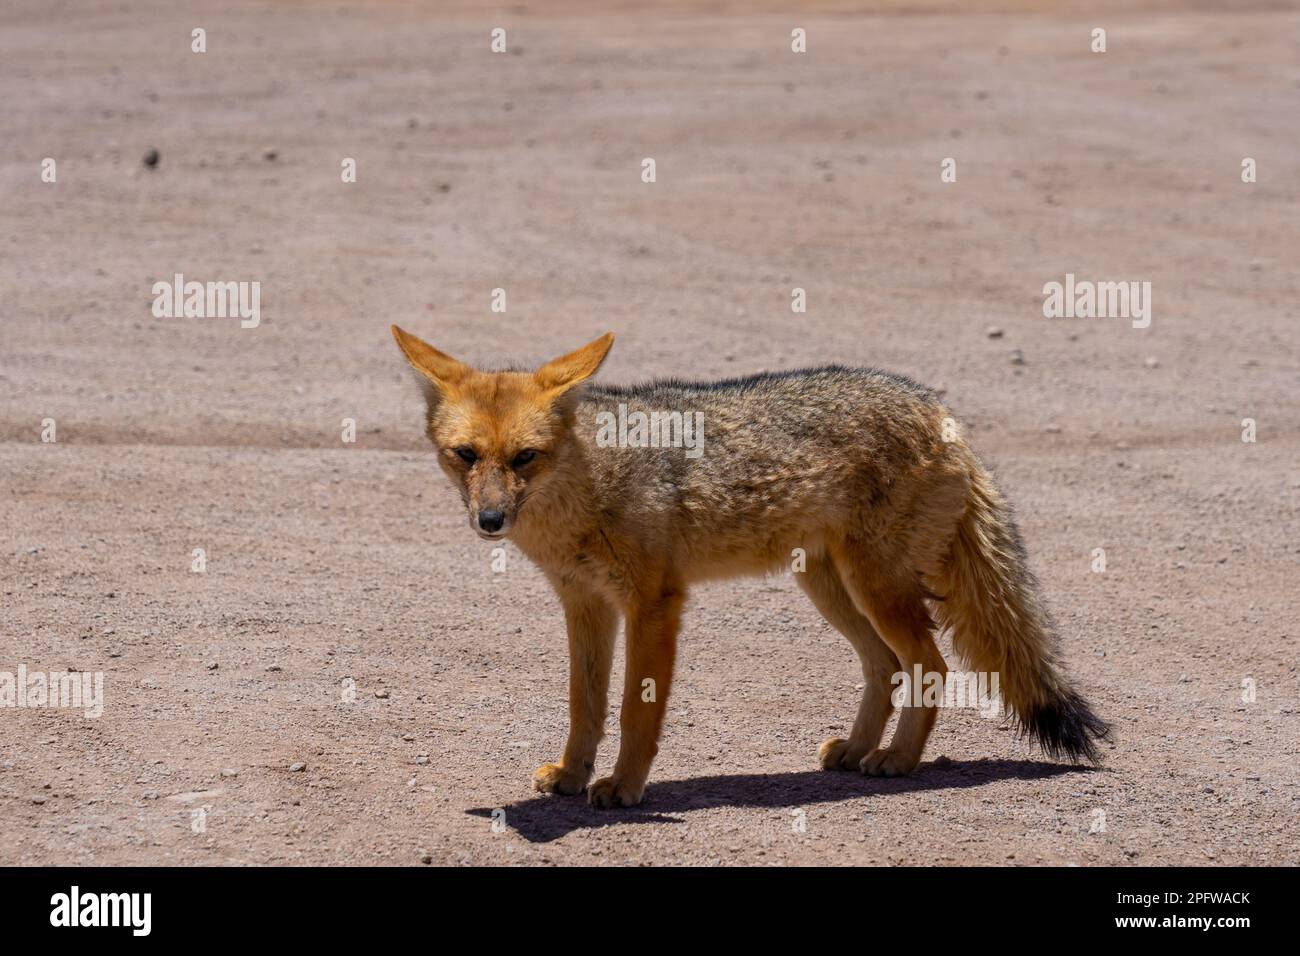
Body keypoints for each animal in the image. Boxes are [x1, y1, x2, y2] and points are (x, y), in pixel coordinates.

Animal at [391, 326, 1111, 808]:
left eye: (525, 458)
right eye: (465, 455)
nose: (490, 521)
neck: (592, 485)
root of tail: (938, 409)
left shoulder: (655, 603)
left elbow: (635, 712)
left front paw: (623, 786)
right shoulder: (584, 604)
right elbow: (585, 704)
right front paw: (571, 776)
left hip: (873, 589)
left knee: (928, 666)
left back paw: (898, 760)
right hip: (829, 587)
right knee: (886, 667)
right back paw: (856, 751)